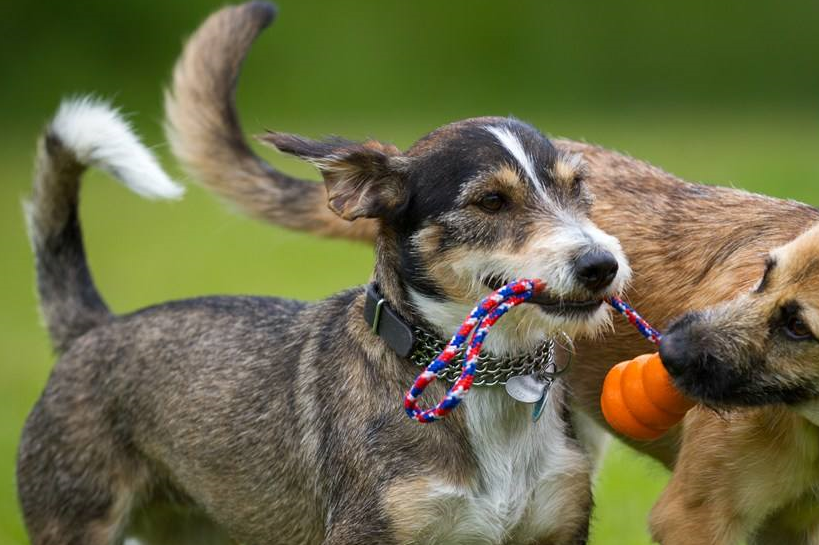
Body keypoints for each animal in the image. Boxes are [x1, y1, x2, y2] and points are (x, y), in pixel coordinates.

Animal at [14, 6, 636, 540]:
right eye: (490, 201)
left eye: (578, 188)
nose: (601, 265)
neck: (486, 381)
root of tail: (93, 328)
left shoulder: (558, 525)